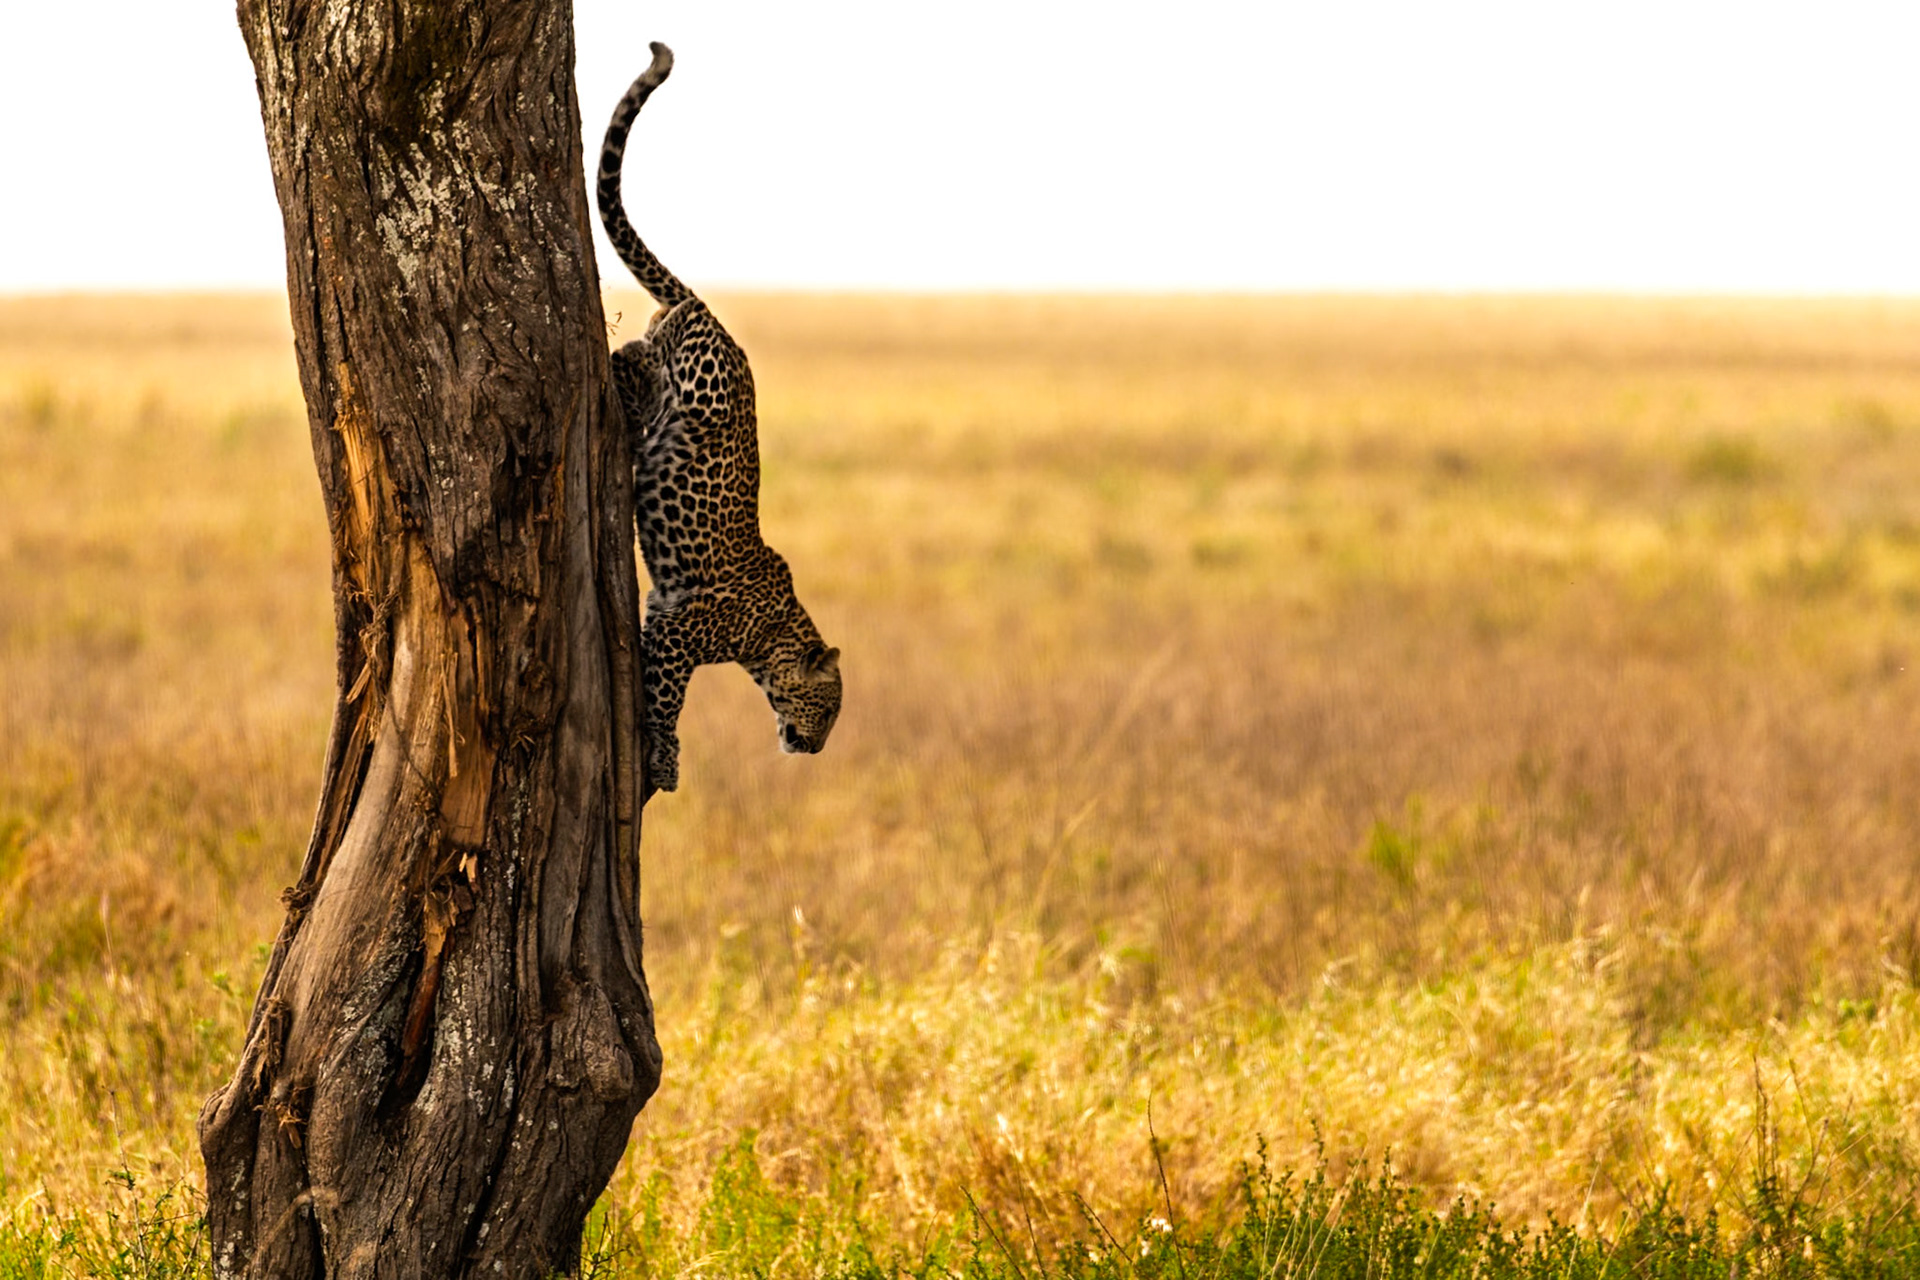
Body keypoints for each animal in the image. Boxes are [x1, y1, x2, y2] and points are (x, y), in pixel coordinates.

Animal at [597, 41, 842, 794]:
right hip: (704, 385)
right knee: (645, 350)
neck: (773, 637)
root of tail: (712, 311)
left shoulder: (661, 614)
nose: (815, 750)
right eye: (830, 709)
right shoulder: (677, 631)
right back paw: (645, 367)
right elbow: (665, 699)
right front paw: (663, 759)